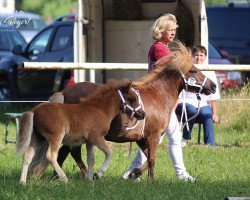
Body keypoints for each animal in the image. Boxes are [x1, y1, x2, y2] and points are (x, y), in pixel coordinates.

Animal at [16, 79, 145, 185]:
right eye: (133, 98)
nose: (143, 114)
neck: (100, 109)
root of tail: (34, 111)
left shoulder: (89, 142)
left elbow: (91, 159)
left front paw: (90, 179)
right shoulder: (96, 137)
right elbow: (109, 152)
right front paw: (98, 174)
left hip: (37, 138)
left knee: (27, 156)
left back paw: (22, 182)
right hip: (56, 137)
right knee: (50, 156)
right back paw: (64, 178)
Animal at [49, 42, 217, 181]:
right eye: (193, 70)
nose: (213, 85)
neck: (157, 95)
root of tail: (65, 91)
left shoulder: (142, 138)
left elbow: (147, 159)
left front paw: (134, 174)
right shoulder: (153, 136)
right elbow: (152, 159)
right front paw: (150, 181)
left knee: (64, 152)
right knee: (72, 152)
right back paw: (84, 175)